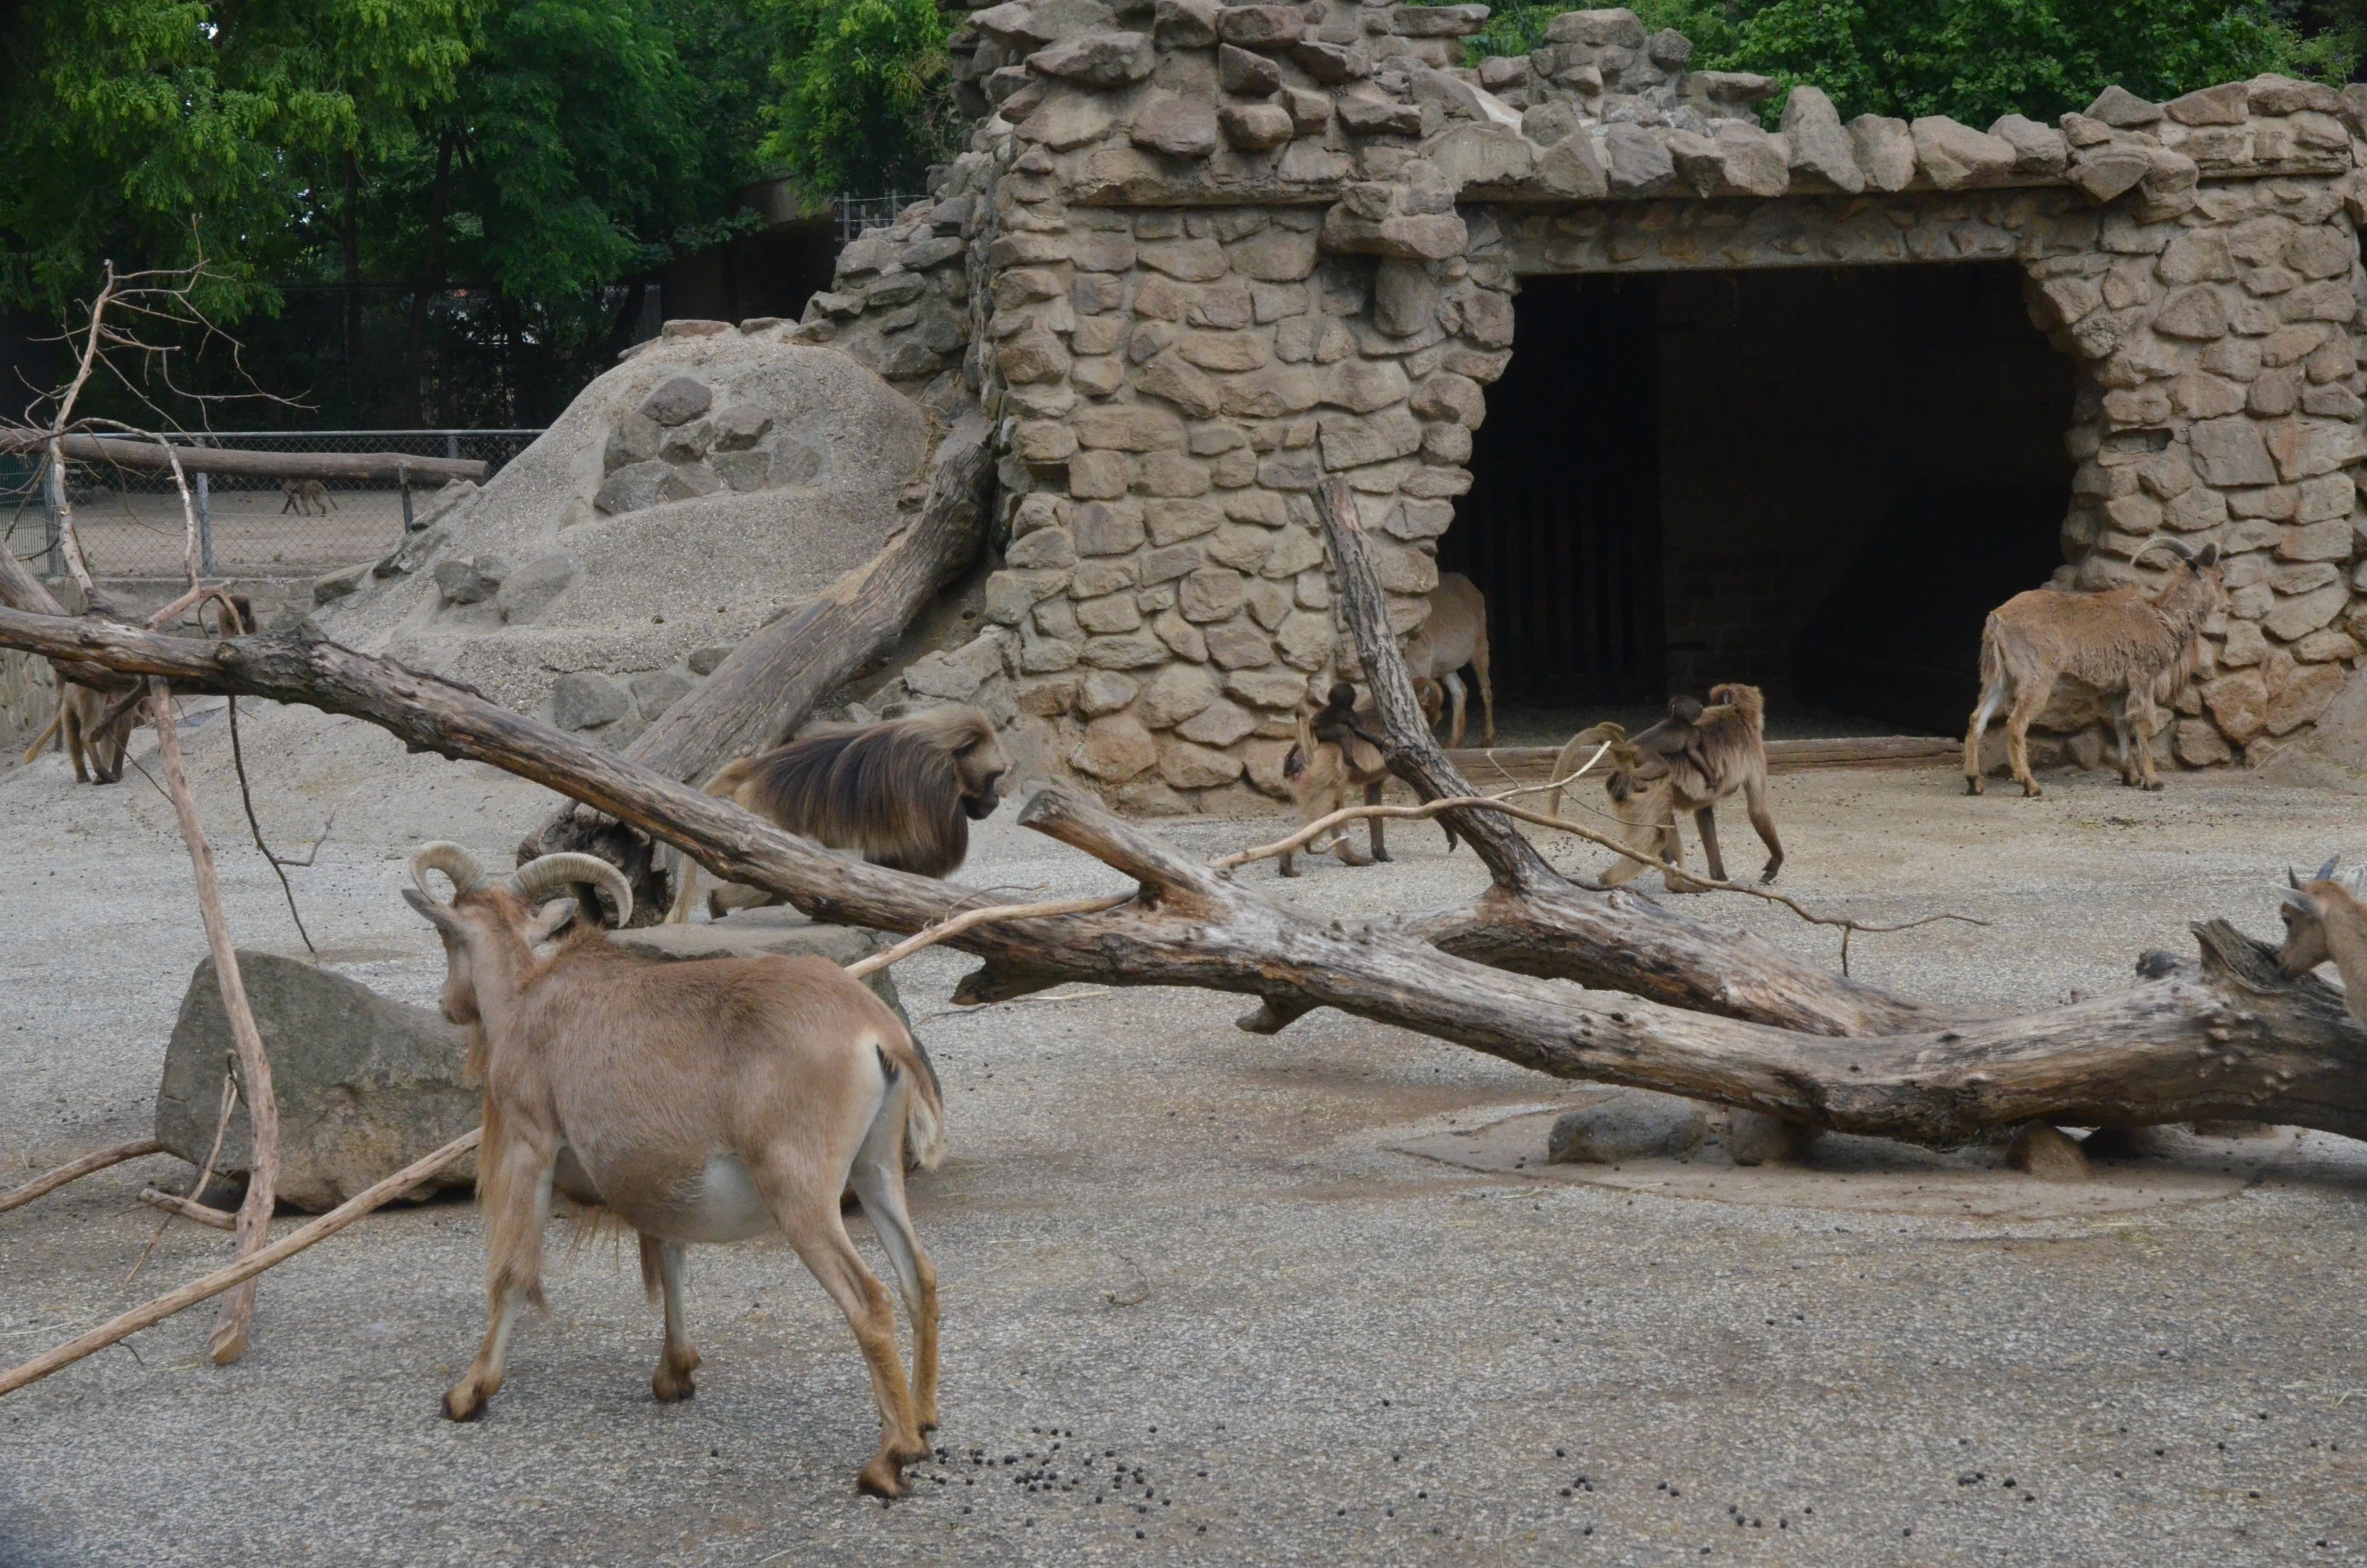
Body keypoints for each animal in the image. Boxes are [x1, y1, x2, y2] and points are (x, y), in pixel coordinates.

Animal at [404, 842, 946, 1498]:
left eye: (445, 934)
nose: (447, 1004)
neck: (526, 999)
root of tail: (879, 1033)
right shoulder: (656, 1181)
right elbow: (671, 1262)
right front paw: (675, 1375)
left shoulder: (530, 1145)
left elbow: (510, 1274)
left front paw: (468, 1393)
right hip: (876, 1169)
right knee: (919, 1277)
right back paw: (922, 1421)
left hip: (800, 1192)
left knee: (869, 1301)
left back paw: (888, 1459)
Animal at [668, 706, 1009, 923]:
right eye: (992, 777)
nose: (995, 801)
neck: (946, 754)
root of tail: (756, 766)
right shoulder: (931, 785)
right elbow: (928, 855)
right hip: (765, 816)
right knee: (762, 875)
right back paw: (716, 903)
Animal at [1964, 540, 2226, 799]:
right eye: (2221, 578)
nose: (2227, 604)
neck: (2163, 619)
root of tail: (1998, 618)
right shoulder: (2142, 678)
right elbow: (2142, 724)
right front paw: (2153, 781)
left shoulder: (2119, 690)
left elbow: (2121, 725)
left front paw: (2130, 777)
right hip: (2036, 676)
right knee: (2016, 723)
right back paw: (2030, 785)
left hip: (2000, 679)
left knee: (1977, 719)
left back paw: (1974, 782)